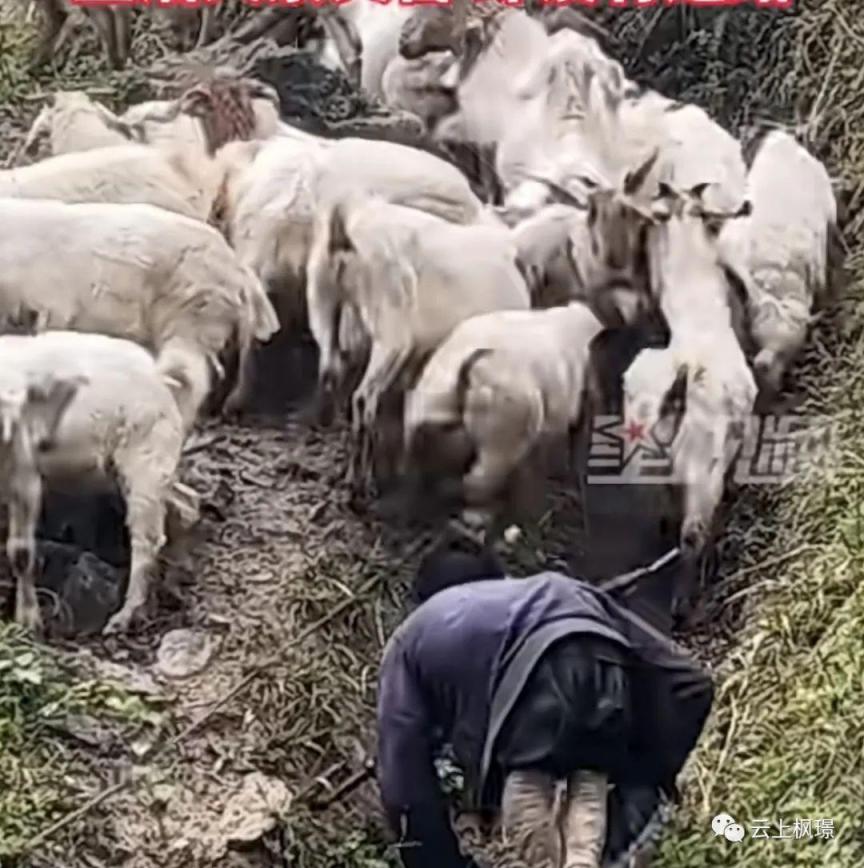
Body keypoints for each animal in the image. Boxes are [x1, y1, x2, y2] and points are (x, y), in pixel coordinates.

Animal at [0, 328, 196, 636]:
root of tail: (159, 375)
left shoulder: (25, 474)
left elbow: (21, 551)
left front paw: (28, 621)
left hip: (144, 452)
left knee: (147, 537)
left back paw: (124, 616)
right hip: (130, 468)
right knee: (186, 503)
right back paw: (177, 572)